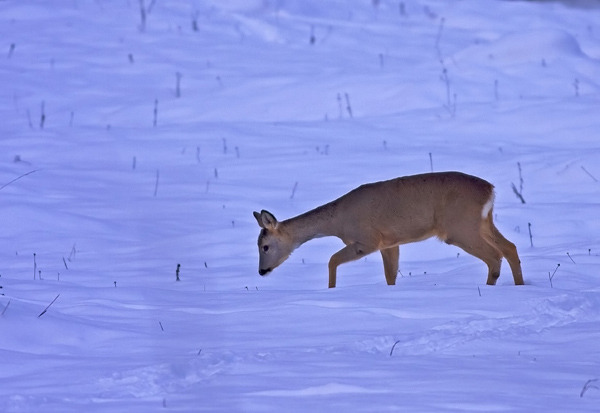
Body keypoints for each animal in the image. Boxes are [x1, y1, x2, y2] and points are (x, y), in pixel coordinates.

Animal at [253, 171, 524, 286]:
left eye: (265, 246)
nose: (261, 271)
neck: (338, 221)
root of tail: (490, 190)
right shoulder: (389, 243)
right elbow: (390, 275)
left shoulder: (368, 240)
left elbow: (331, 260)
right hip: (483, 222)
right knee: (510, 247)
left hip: (460, 227)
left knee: (494, 256)